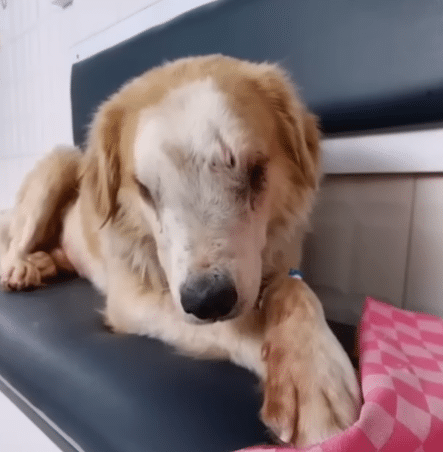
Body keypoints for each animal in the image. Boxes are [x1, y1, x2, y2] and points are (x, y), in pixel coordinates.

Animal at [0, 55, 360, 447]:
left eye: (256, 172)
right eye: (144, 189)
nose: (208, 300)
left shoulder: (278, 265)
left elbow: (295, 289)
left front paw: (315, 372)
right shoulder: (135, 301)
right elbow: (238, 325)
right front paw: (290, 371)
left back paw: (45, 263)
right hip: (59, 165)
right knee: (14, 243)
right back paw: (20, 267)